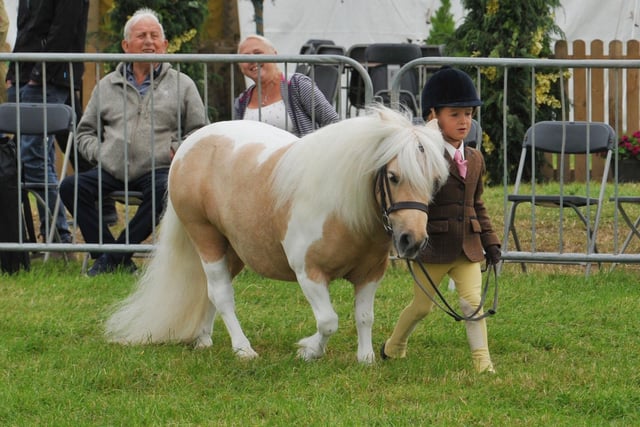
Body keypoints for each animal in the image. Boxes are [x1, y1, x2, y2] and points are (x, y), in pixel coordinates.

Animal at [105, 105, 448, 362]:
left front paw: (365, 359)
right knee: (221, 294)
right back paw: (243, 349)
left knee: (209, 292)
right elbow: (328, 321)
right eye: (393, 176)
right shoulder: (309, 273)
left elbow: (365, 317)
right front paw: (309, 351)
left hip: (234, 249)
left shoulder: (370, 275)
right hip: (206, 238)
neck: (343, 208)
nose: (413, 241)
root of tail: (190, 144)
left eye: (435, 180)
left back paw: (203, 339)